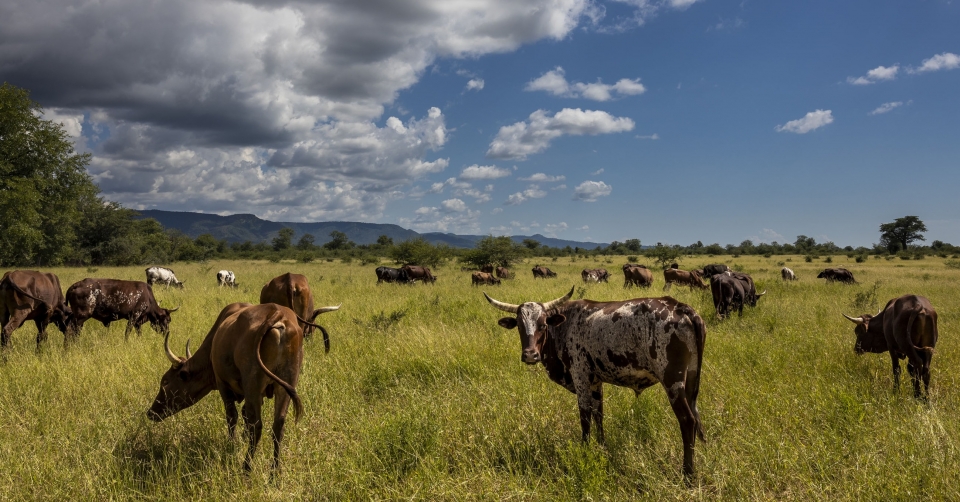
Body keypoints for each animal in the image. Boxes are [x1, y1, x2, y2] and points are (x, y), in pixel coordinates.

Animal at [146, 302, 316, 470]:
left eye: (165, 381)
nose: (150, 413)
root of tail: (277, 313)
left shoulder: (223, 385)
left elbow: (232, 416)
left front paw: (231, 444)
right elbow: (244, 414)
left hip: (253, 384)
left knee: (256, 426)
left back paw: (247, 467)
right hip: (286, 384)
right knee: (278, 425)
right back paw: (274, 470)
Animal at [488, 286, 704, 478]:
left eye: (542, 325)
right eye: (519, 326)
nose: (530, 355)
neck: (564, 326)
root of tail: (680, 306)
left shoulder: (580, 377)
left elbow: (585, 416)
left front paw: (585, 449)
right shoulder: (595, 383)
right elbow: (598, 414)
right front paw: (602, 447)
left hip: (672, 380)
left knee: (687, 420)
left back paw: (688, 473)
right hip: (691, 379)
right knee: (695, 416)